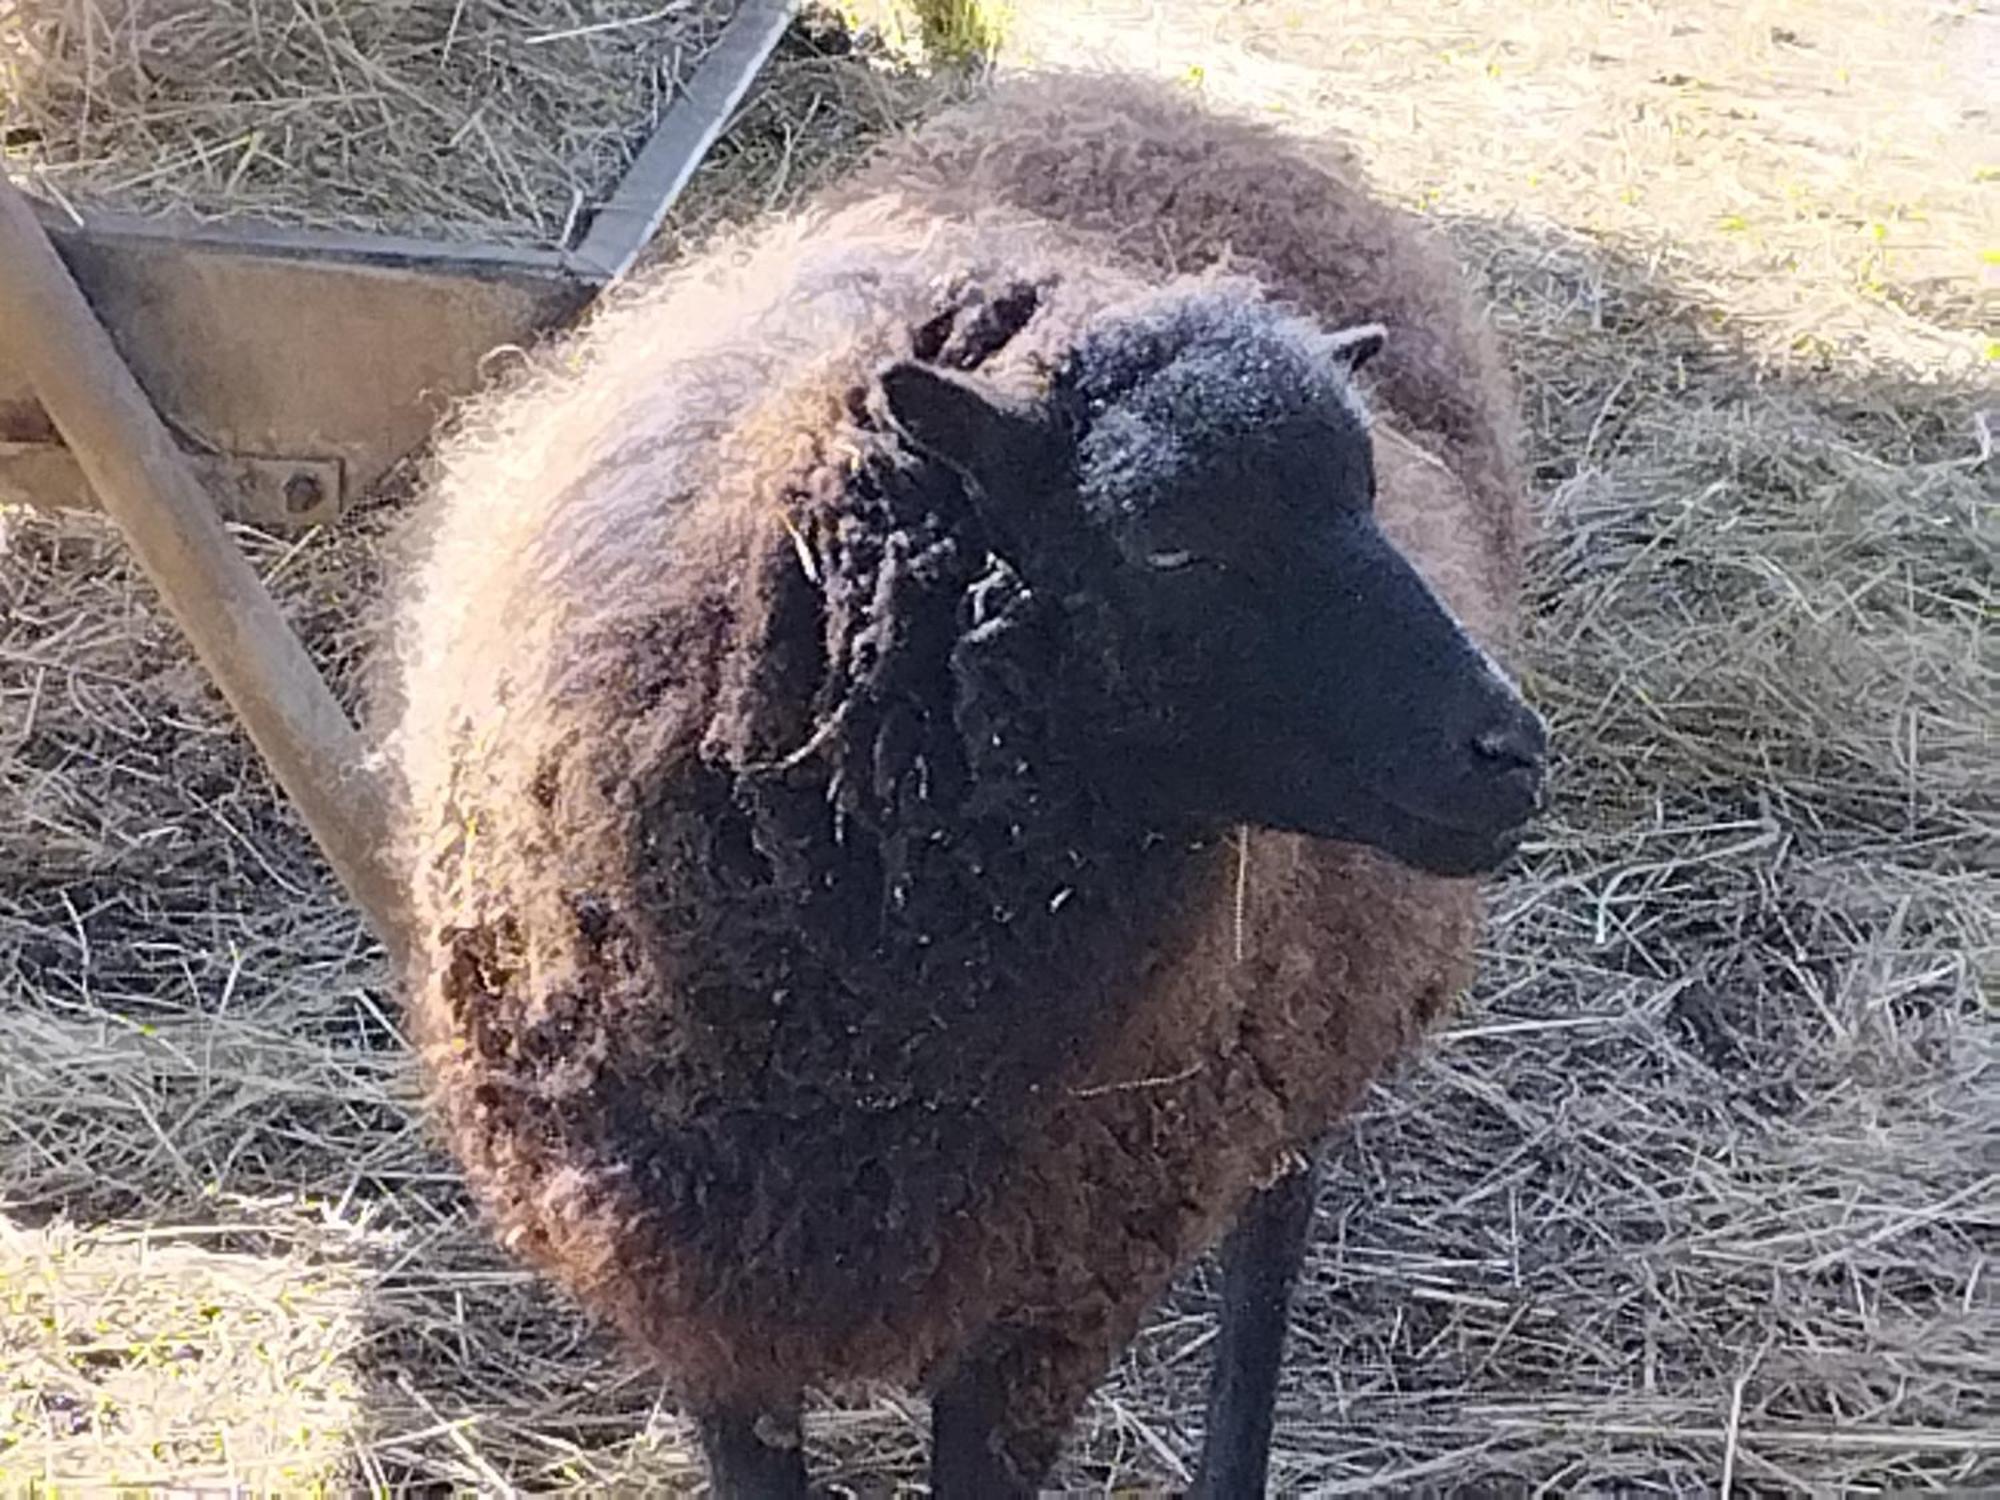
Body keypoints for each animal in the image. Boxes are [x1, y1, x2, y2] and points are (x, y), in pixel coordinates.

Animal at [386, 64, 1544, 1496]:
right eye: (1168, 540)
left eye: (1365, 491)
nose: (1508, 754)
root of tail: (1147, 99)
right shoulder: (702, 1295)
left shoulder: (1039, 1308)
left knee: (1276, 1219)